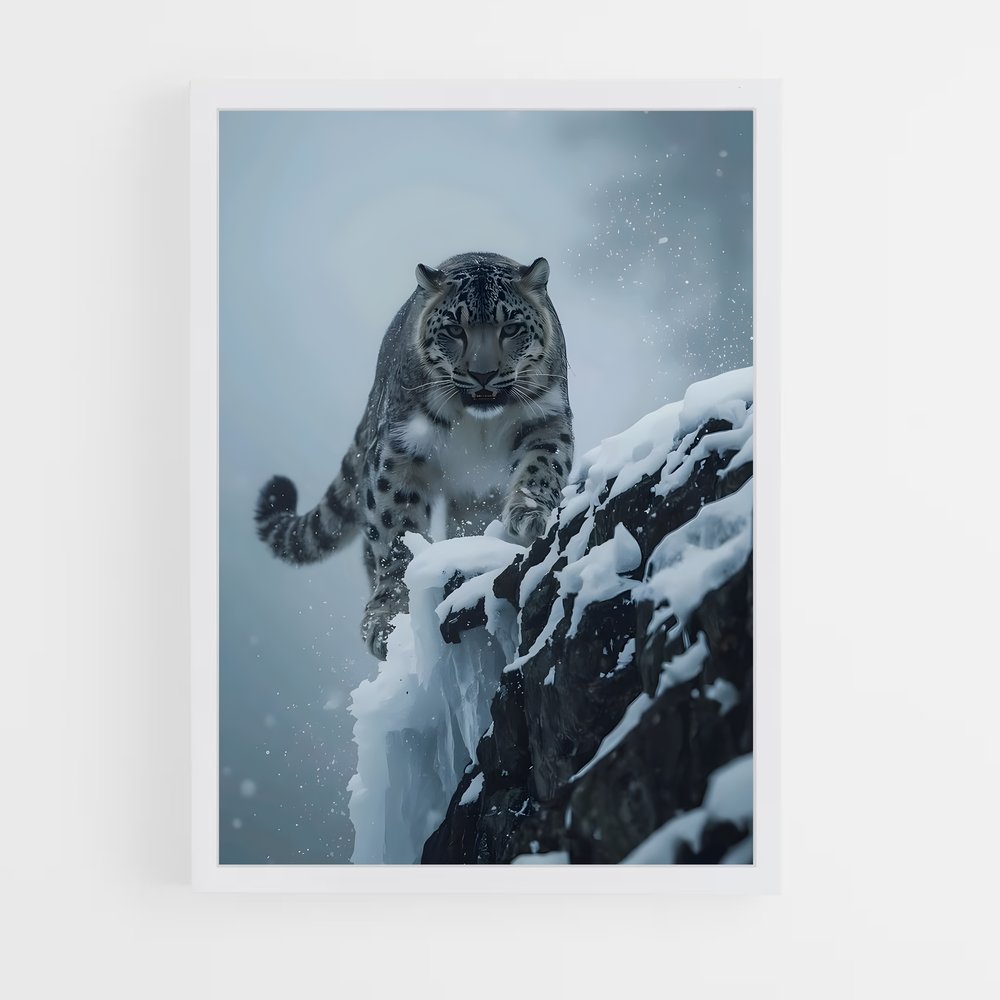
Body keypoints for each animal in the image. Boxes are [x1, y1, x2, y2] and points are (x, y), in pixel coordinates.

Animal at [255, 251, 573, 660]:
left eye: (512, 327)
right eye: (454, 329)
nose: (483, 374)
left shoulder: (546, 419)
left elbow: (542, 465)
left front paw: (527, 515)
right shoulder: (400, 450)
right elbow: (396, 536)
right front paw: (387, 620)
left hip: (475, 502)